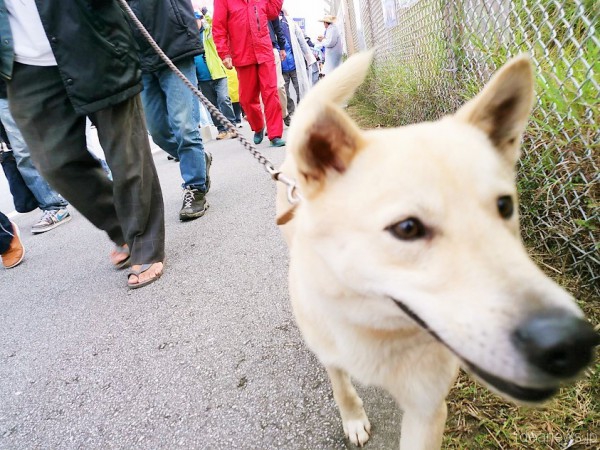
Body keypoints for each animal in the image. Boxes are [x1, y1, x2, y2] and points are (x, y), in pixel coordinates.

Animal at [274, 51, 596, 448]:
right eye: (407, 228)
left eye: (504, 206)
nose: (571, 343)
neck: (377, 329)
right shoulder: (330, 353)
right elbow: (342, 388)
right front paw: (353, 419)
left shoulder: (426, 409)